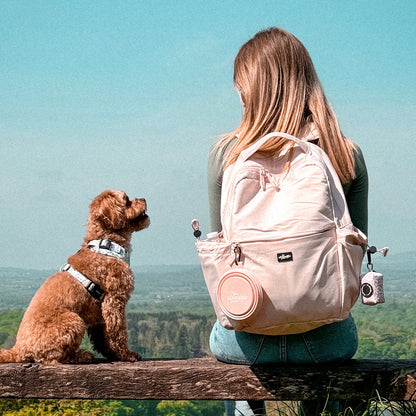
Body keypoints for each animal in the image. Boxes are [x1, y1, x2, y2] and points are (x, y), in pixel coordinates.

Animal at [0, 190, 150, 362]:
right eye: (126, 199)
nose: (143, 198)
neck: (106, 244)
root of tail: (19, 349)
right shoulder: (114, 301)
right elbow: (118, 332)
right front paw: (126, 355)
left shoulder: (100, 314)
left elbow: (103, 338)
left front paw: (113, 354)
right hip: (74, 321)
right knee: (54, 358)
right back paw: (81, 355)